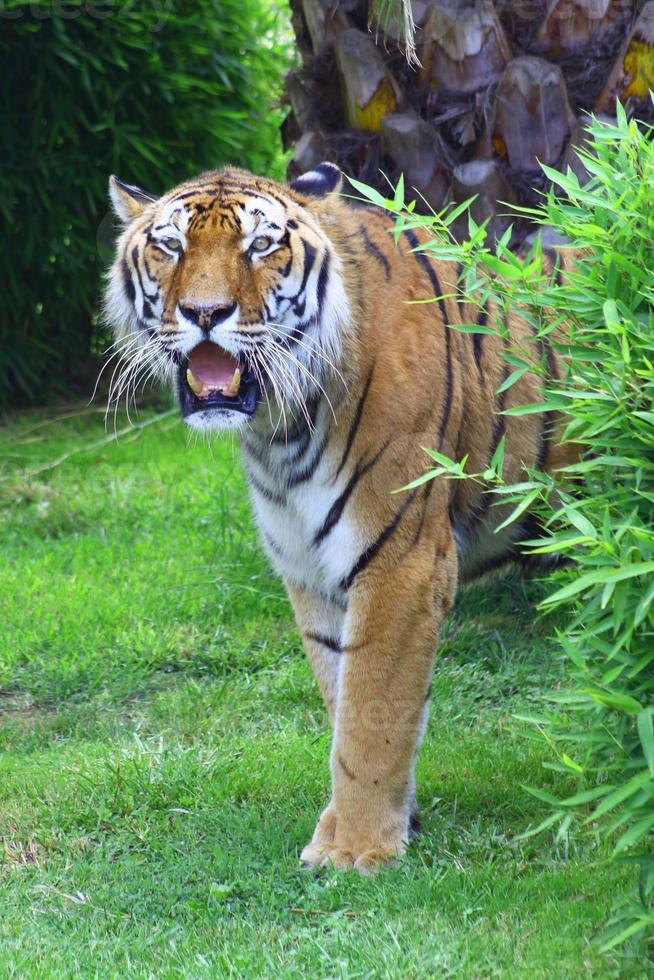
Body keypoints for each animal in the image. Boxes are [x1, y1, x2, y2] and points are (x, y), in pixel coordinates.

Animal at [105, 161, 576, 872]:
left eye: (260, 246)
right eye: (170, 246)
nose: (204, 313)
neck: (278, 429)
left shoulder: (401, 561)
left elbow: (372, 708)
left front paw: (356, 847)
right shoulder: (310, 567)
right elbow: (343, 697)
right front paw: (382, 821)